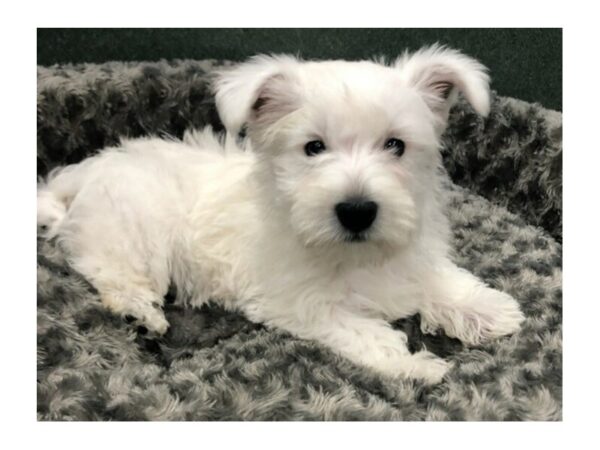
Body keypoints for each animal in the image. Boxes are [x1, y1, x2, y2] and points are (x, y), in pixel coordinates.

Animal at [38, 44, 524, 384]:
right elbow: (363, 332)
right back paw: (143, 312)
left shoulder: (407, 252)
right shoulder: (301, 302)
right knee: (112, 273)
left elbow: (436, 277)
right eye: (313, 147)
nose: (357, 210)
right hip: (128, 235)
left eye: (396, 145)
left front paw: (488, 309)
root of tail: (85, 171)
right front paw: (415, 365)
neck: (353, 253)